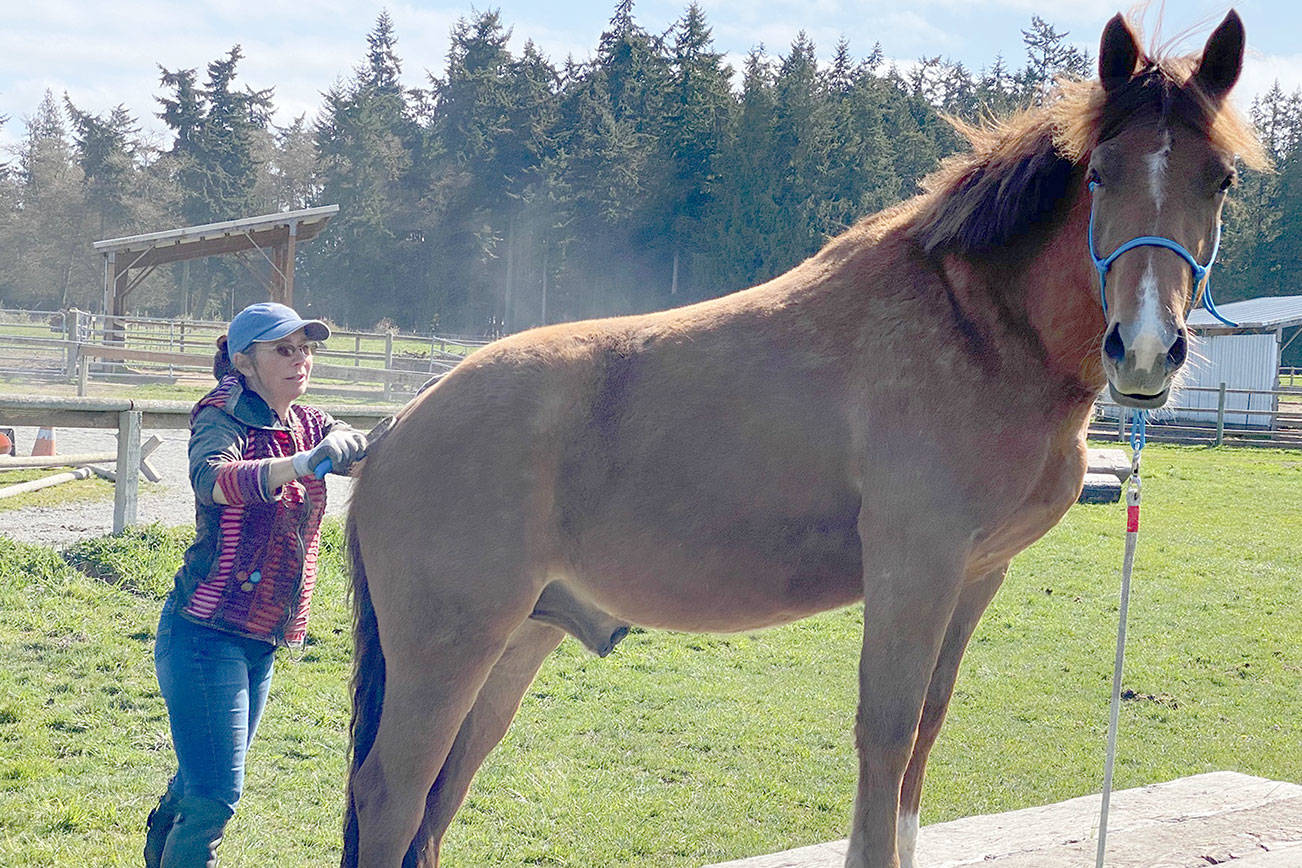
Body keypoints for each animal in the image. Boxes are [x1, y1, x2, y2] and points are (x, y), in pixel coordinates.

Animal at [340, 12, 1267, 867]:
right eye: (1102, 174)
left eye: (1219, 181)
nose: (1144, 349)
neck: (976, 330)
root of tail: (392, 434)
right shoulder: (913, 564)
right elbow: (886, 735)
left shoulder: (976, 576)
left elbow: (924, 736)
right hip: (450, 650)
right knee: (393, 793)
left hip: (516, 643)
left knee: (436, 800)